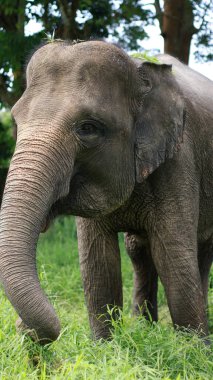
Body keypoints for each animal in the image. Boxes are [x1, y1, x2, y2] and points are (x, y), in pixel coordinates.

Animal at [0, 40, 213, 344]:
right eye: (16, 121)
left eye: (88, 127)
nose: (22, 326)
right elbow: (99, 263)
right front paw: (106, 347)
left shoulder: (178, 161)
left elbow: (174, 259)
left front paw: (194, 349)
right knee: (138, 250)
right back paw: (144, 328)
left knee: (199, 252)